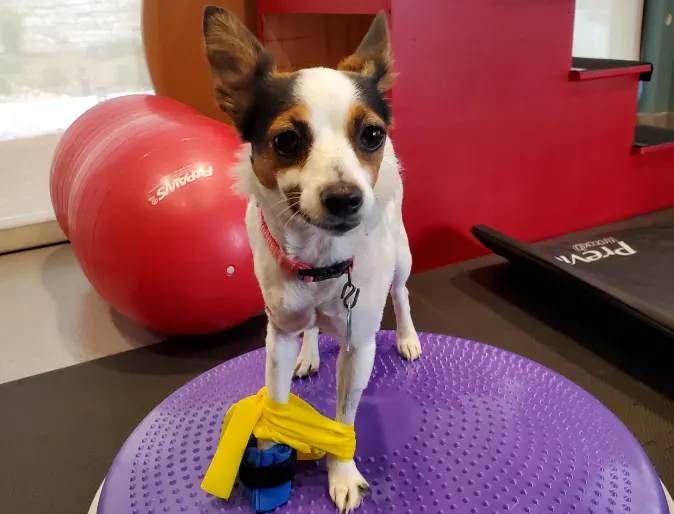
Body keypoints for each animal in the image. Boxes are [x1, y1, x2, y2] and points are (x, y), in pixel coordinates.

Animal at [200, 9, 420, 512]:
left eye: (371, 135)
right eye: (286, 140)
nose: (345, 198)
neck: (322, 261)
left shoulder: (359, 348)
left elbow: (344, 420)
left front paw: (341, 472)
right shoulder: (277, 334)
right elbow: (276, 403)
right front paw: (269, 454)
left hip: (401, 255)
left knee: (401, 293)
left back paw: (407, 336)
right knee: (313, 327)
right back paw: (311, 352)